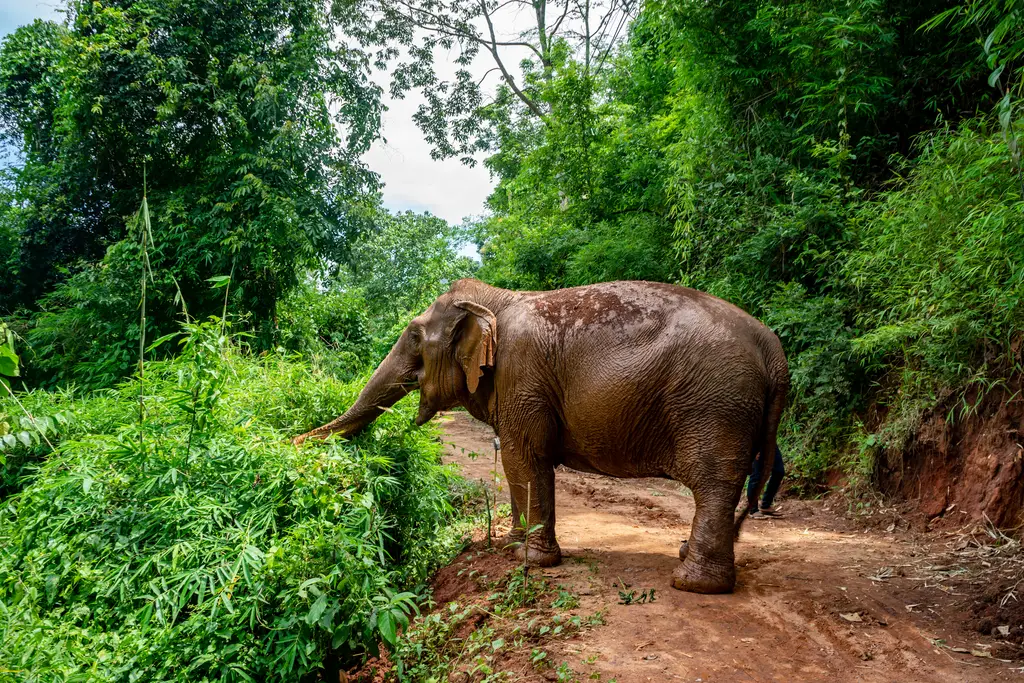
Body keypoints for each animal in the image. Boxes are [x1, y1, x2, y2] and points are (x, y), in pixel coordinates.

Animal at [293, 278, 789, 594]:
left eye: (414, 336)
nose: (292, 443)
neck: (494, 300)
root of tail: (773, 348)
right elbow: (516, 461)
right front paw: (510, 546)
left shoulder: (521, 375)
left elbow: (524, 457)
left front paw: (531, 562)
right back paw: (686, 558)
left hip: (715, 406)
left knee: (714, 484)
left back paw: (693, 583)